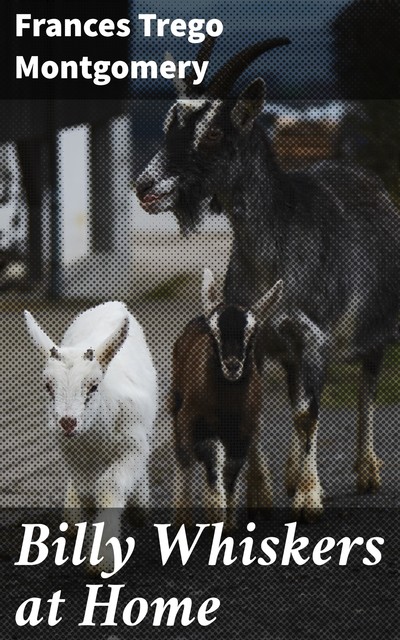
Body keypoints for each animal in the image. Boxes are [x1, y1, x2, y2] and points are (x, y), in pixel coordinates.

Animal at [24, 300, 157, 576]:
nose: (67, 422)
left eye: (94, 386)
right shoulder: (72, 456)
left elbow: (109, 488)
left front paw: (102, 559)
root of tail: (112, 303)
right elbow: (87, 494)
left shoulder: (134, 447)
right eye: (47, 386)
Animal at [171, 268, 282, 528]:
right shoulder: (197, 423)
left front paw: (229, 522)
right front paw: (215, 514)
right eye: (214, 334)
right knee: (183, 456)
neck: (226, 406)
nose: (232, 366)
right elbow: (211, 460)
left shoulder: (243, 431)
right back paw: (182, 517)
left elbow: (231, 470)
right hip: (176, 404)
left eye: (252, 333)